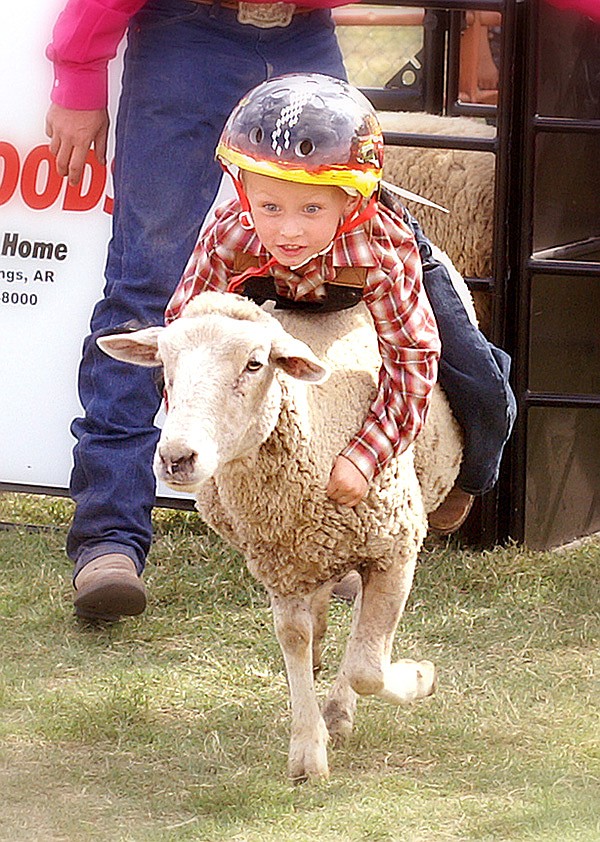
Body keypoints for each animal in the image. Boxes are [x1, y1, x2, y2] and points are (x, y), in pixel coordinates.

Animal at [96, 278, 466, 776]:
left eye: (255, 363)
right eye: (165, 366)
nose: (177, 458)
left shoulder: (396, 547)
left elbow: (368, 669)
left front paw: (420, 677)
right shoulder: (281, 565)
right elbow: (294, 638)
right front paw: (308, 749)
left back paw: (342, 701)